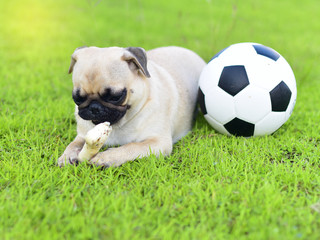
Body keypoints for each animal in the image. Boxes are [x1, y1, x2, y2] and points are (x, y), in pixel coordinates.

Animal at [57, 46, 205, 167]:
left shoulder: (157, 142)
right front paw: (67, 155)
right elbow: (73, 144)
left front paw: (106, 157)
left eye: (115, 97)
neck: (119, 124)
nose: (94, 108)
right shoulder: (83, 135)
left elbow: (130, 147)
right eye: (77, 98)